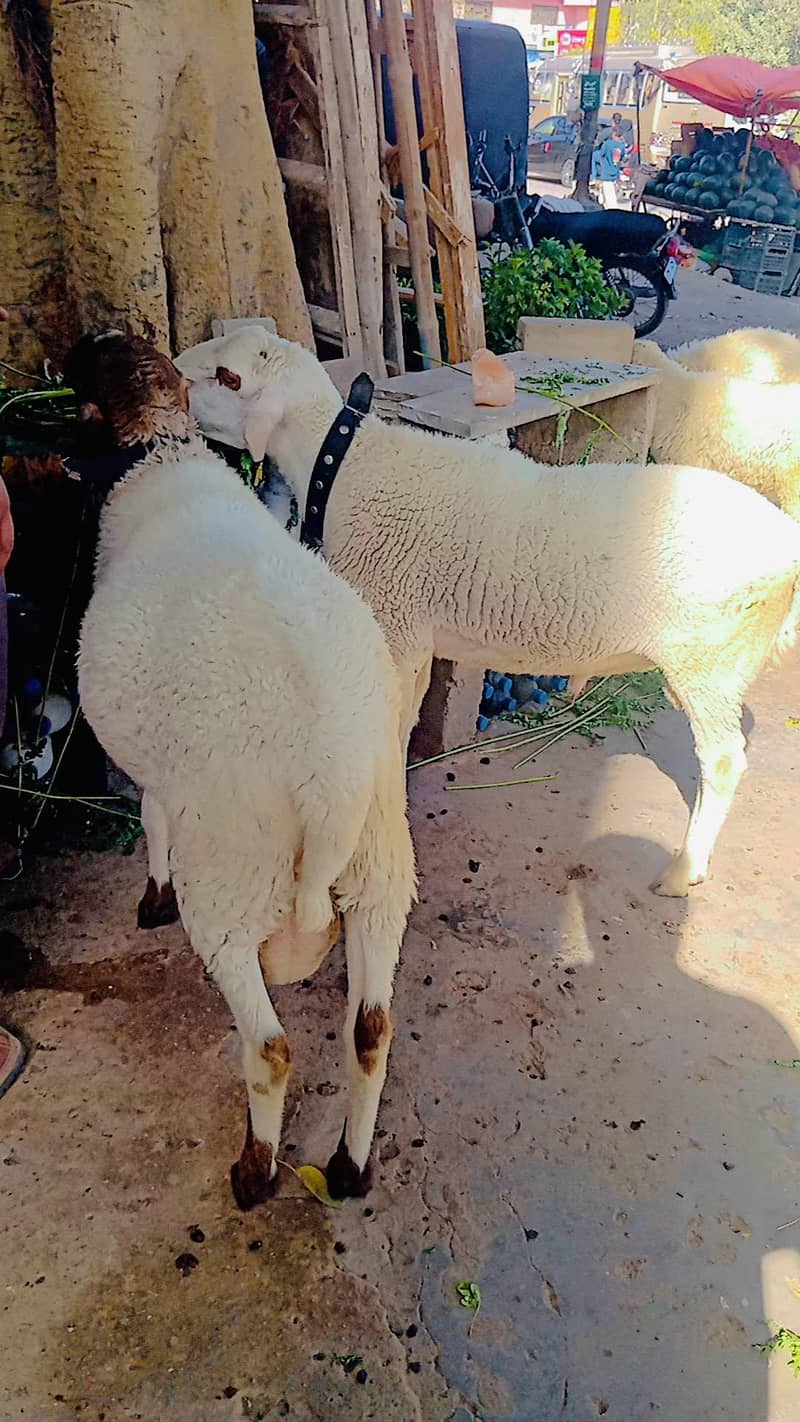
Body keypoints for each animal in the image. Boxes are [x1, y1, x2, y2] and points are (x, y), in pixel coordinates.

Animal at [70, 332, 415, 1207]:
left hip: (232, 879)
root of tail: (330, 781)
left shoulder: (162, 775)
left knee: (269, 1049)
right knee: (371, 1032)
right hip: (381, 870)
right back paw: (348, 1167)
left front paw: (152, 898)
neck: (162, 455)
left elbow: (152, 819)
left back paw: (255, 1170)